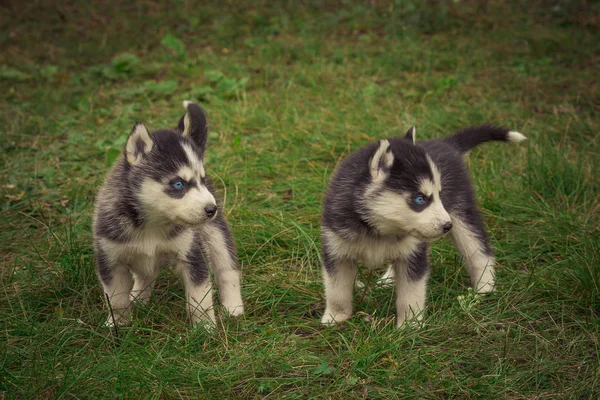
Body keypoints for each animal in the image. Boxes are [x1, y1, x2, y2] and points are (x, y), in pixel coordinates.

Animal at [92, 101, 243, 326]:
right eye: (178, 183)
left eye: (202, 180)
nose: (211, 209)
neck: (153, 222)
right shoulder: (110, 260)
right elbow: (116, 299)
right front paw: (118, 324)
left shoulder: (192, 255)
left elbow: (200, 300)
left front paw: (204, 328)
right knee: (146, 275)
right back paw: (138, 299)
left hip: (216, 236)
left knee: (227, 270)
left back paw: (234, 307)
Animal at [318, 126, 524, 328]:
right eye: (420, 199)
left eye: (440, 194)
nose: (447, 226)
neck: (379, 228)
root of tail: (445, 143)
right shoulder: (337, 251)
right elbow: (337, 289)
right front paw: (336, 316)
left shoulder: (414, 253)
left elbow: (411, 293)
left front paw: (410, 325)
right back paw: (387, 279)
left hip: (463, 216)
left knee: (480, 253)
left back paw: (484, 290)